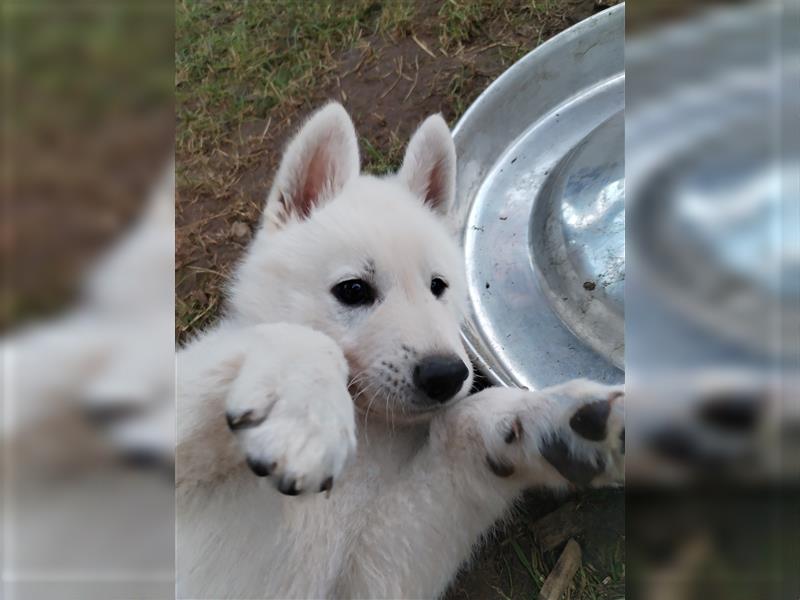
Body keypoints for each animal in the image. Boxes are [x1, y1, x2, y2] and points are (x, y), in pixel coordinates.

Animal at [177, 104, 624, 600]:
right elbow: (300, 340)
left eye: (438, 287)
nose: (446, 376)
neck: (367, 438)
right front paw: (304, 416)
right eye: (353, 290)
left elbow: (459, 427)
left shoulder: (366, 580)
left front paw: (543, 419)